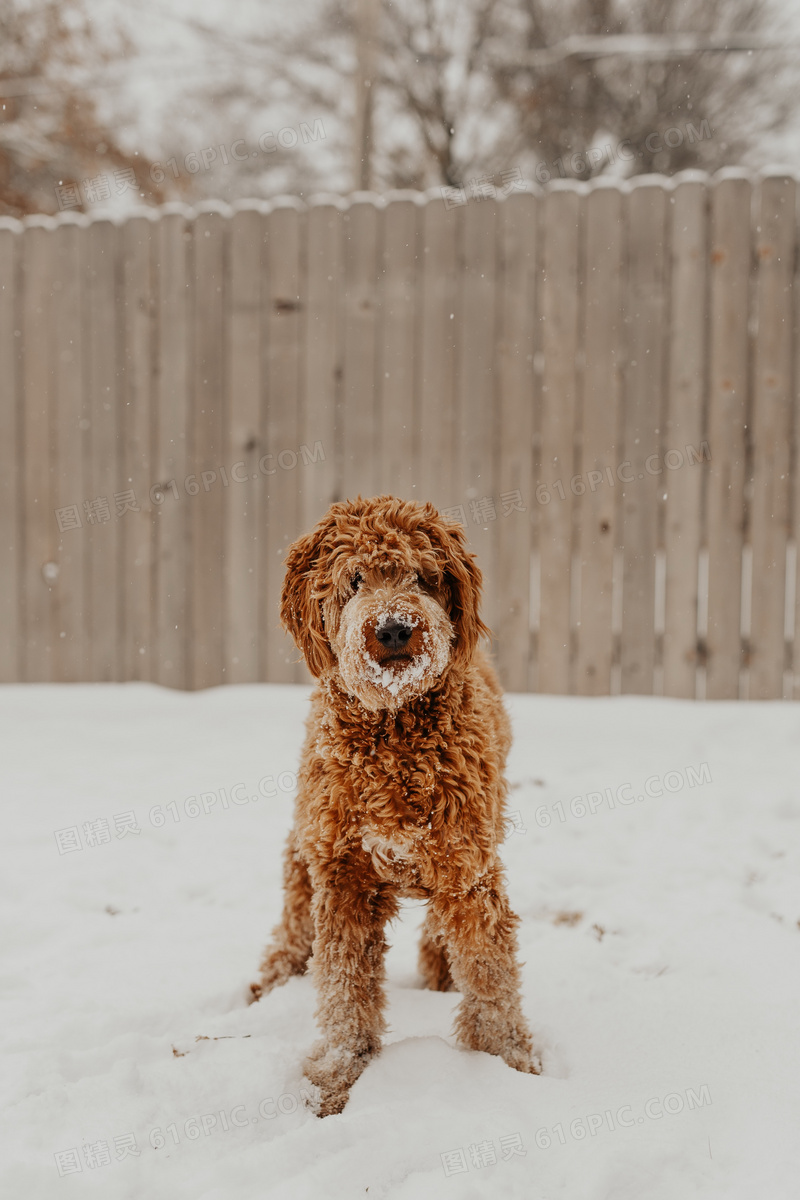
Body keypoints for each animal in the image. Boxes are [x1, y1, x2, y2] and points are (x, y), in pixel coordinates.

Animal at [250, 492, 537, 1108]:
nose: (393, 629)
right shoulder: (343, 876)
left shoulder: (467, 869)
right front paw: (338, 1071)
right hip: (305, 844)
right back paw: (271, 981)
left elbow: (490, 972)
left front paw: (508, 1061)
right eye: (354, 580)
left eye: (423, 577)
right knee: (293, 918)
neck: (394, 732)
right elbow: (344, 987)